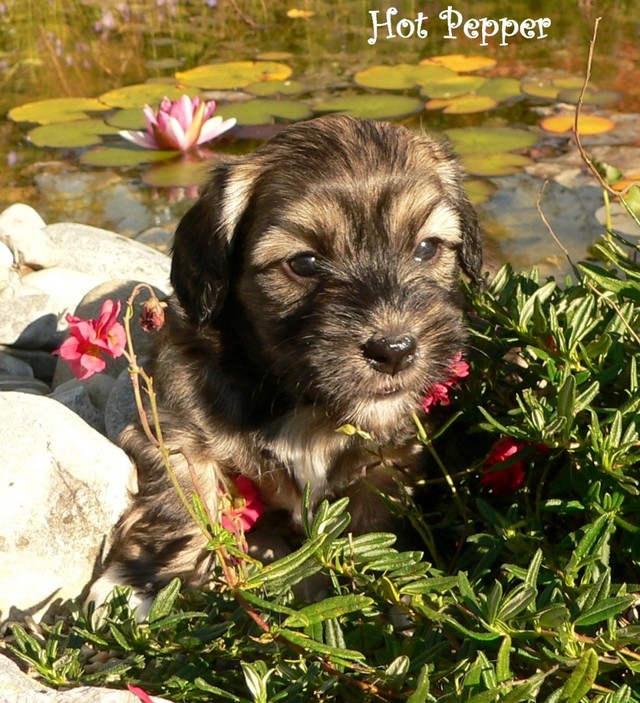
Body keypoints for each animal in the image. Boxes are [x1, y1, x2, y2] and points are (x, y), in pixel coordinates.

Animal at [88, 115, 482, 617]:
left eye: (427, 248)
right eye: (305, 262)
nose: (395, 349)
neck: (303, 401)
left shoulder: (391, 455)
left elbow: (376, 519)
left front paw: (383, 581)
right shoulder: (176, 425)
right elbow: (182, 502)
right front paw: (148, 585)